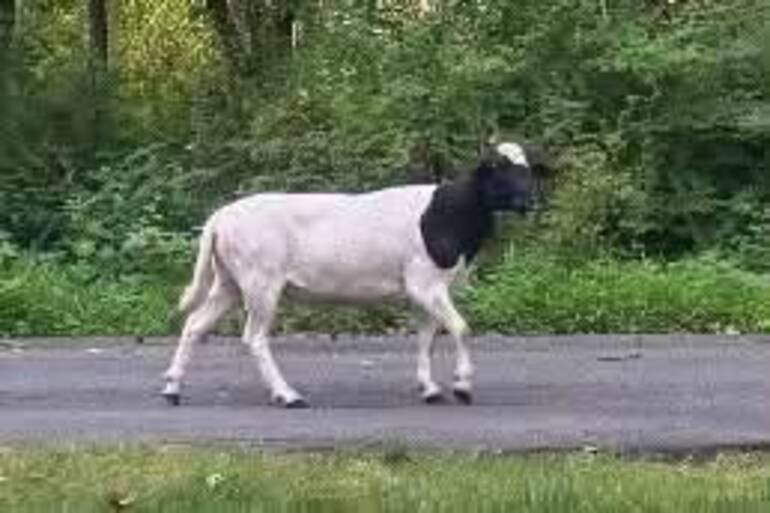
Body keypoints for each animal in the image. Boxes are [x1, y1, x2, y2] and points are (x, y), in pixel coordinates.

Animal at [162, 142, 539, 408]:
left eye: (529, 170)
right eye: (498, 168)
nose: (531, 200)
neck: (447, 214)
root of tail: (220, 217)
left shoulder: (424, 290)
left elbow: (426, 338)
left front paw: (430, 388)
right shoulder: (425, 283)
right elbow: (461, 328)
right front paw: (461, 386)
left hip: (229, 282)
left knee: (194, 325)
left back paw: (172, 388)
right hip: (260, 283)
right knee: (253, 338)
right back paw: (288, 395)